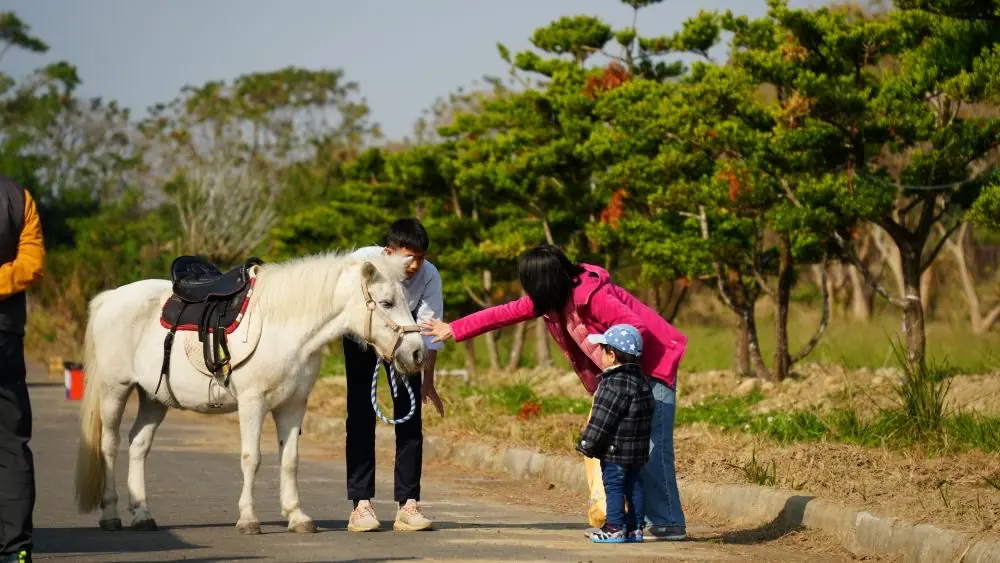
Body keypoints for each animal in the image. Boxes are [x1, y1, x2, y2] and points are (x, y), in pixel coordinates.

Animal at [73, 252, 426, 536]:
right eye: (386, 303)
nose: (416, 353)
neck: (283, 327)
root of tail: (109, 298)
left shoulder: (292, 406)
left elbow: (290, 461)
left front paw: (297, 517)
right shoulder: (252, 403)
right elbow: (251, 459)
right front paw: (248, 520)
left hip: (154, 398)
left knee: (138, 445)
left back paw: (143, 515)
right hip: (114, 390)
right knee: (109, 446)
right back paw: (111, 515)